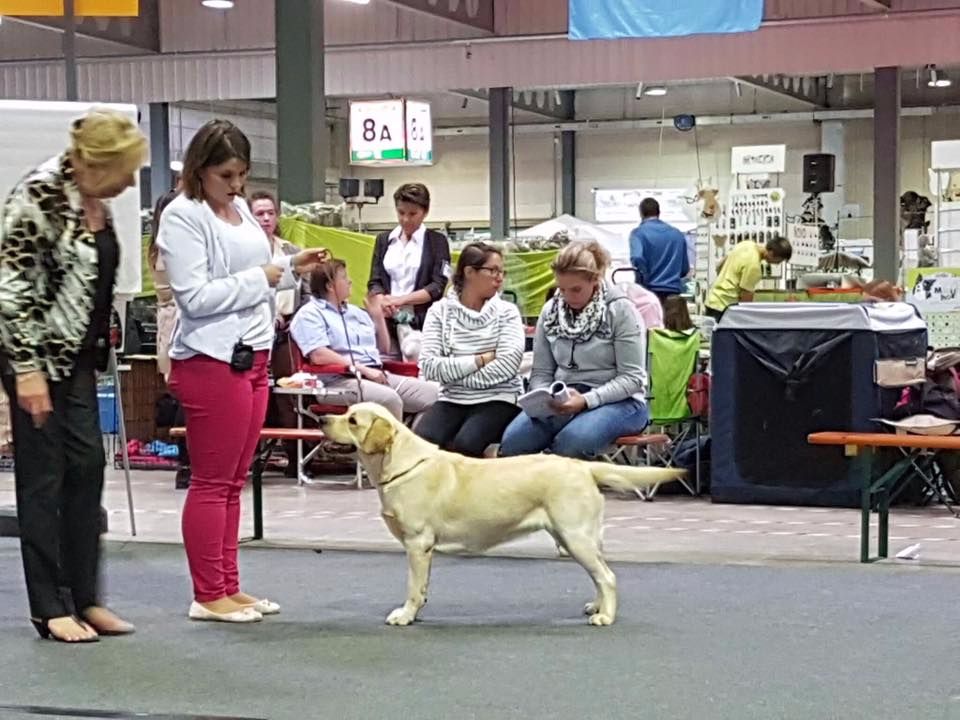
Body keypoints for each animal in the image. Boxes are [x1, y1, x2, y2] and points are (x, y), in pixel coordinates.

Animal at [322, 402, 684, 628]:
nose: (322, 419)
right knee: (600, 574)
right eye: (346, 412)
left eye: (352, 420)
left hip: (574, 536)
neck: (398, 463)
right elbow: (423, 587)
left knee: (607, 577)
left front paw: (405, 615)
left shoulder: (417, 543)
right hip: (578, 537)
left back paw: (604, 617)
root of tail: (582, 466)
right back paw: (596, 606)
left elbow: (413, 586)